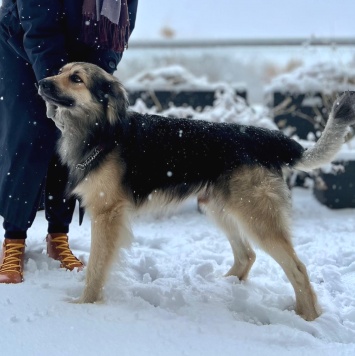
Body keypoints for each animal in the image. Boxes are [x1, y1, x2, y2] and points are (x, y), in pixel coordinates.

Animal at [38, 62, 355, 322]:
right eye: (60, 70)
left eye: (76, 78)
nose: (41, 81)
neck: (102, 131)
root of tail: (262, 136)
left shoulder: (106, 214)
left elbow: (96, 266)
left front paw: (85, 305)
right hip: (220, 207)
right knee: (247, 255)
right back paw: (225, 287)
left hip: (256, 218)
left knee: (297, 269)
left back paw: (309, 316)